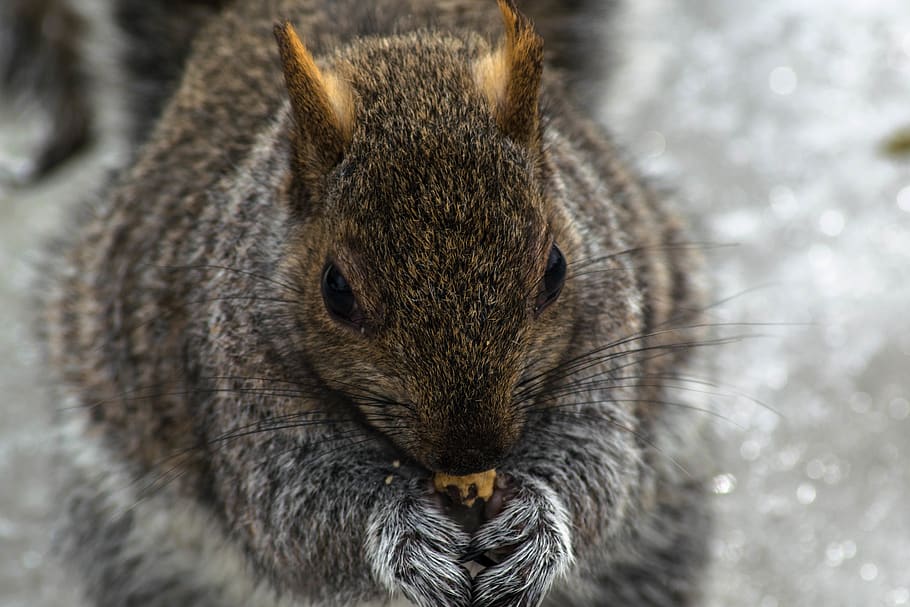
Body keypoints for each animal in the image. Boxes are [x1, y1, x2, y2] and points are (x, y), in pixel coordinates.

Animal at [26, 0, 712, 605]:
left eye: (556, 270)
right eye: (336, 289)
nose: (471, 454)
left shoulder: (607, 336)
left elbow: (597, 470)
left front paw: (535, 527)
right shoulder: (236, 379)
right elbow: (294, 518)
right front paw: (405, 533)